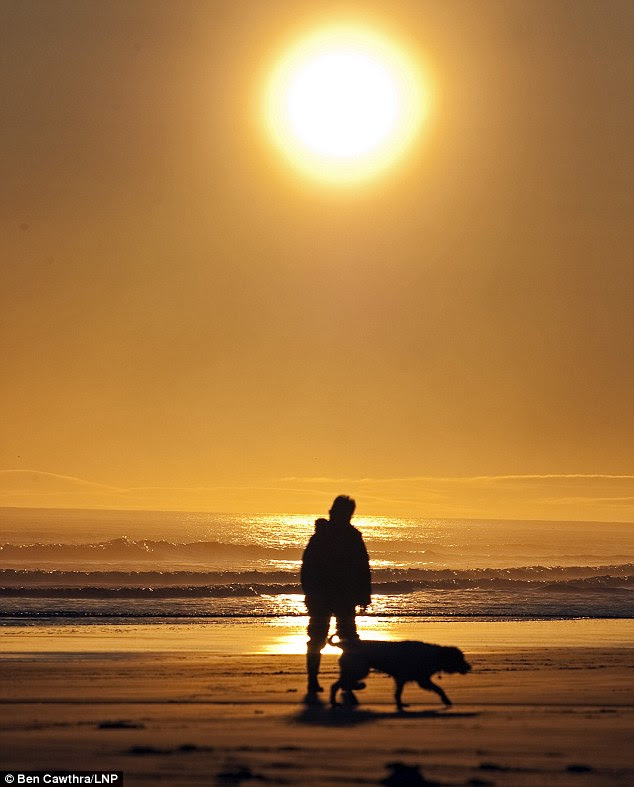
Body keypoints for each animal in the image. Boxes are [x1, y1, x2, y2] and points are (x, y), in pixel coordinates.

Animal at [330, 636, 470, 712]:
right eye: (460, 659)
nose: (469, 667)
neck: (435, 656)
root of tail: (344, 645)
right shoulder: (417, 679)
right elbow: (439, 689)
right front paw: (446, 700)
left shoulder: (412, 679)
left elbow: (399, 693)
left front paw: (400, 704)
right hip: (359, 670)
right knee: (336, 685)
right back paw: (335, 702)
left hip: (354, 671)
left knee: (342, 685)